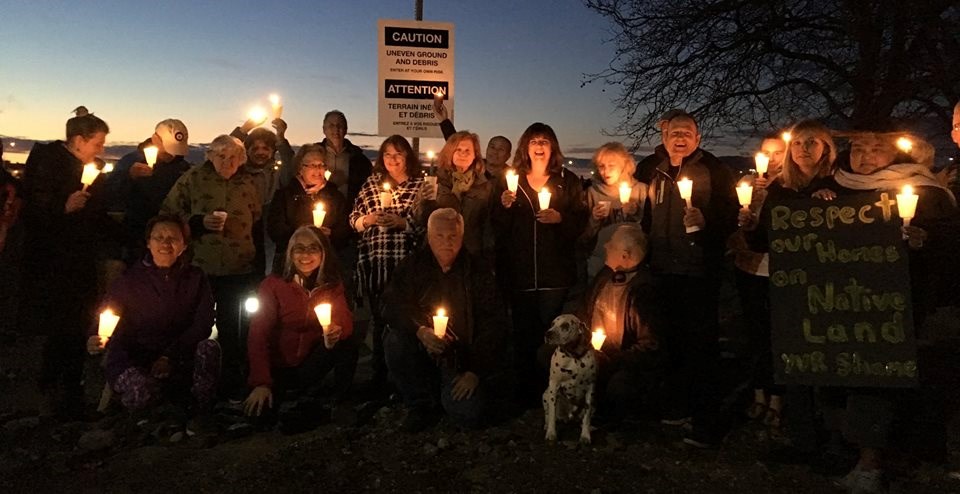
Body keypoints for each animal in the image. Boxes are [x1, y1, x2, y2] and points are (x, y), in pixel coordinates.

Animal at [544, 314, 596, 446]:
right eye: (552, 324)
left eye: (565, 326)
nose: (547, 333)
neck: (574, 357)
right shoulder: (553, 387)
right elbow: (551, 414)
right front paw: (551, 433)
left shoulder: (590, 390)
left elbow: (587, 418)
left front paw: (585, 435)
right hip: (545, 395)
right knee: (547, 414)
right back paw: (546, 425)